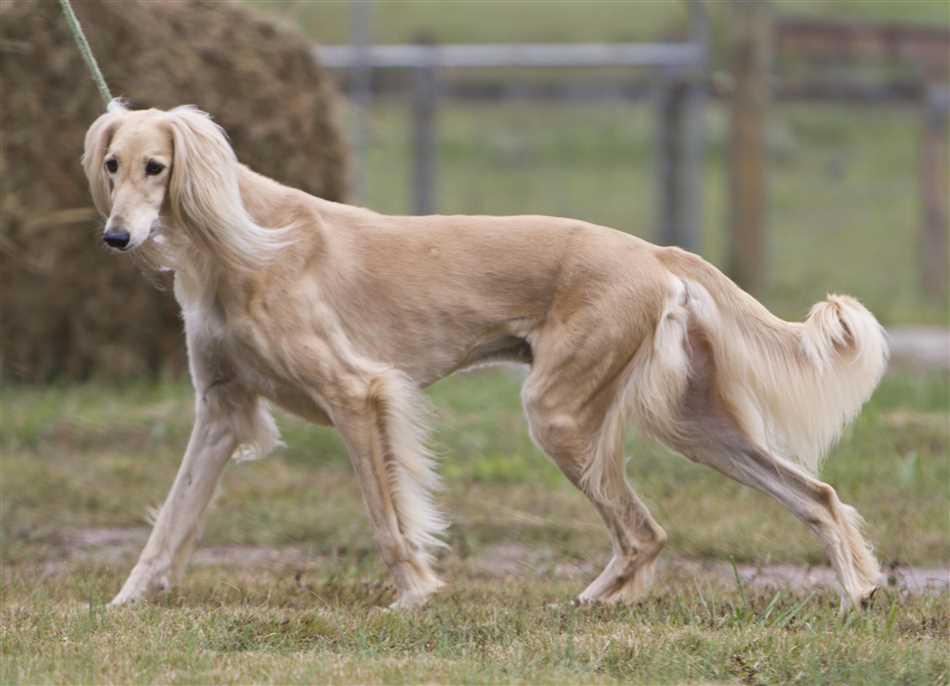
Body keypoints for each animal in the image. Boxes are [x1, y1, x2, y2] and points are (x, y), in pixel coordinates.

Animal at [83, 103, 892, 612]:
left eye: (158, 167)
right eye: (112, 163)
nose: (116, 239)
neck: (240, 243)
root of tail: (652, 250)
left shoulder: (358, 393)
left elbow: (388, 518)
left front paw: (414, 594)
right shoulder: (221, 410)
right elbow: (170, 522)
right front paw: (125, 601)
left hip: (560, 413)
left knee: (645, 532)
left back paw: (591, 603)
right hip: (696, 424)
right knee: (813, 496)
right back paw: (857, 591)